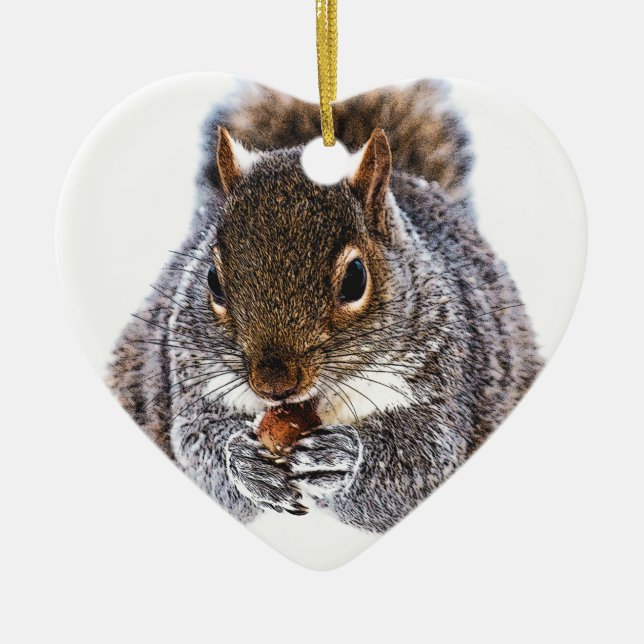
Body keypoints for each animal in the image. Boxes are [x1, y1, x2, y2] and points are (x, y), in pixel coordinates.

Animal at [108, 80, 542, 533]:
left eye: (355, 279)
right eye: (212, 279)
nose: (273, 385)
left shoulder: (442, 377)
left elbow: (419, 461)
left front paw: (342, 460)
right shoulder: (191, 376)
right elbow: (199, 445)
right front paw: (242, 461)